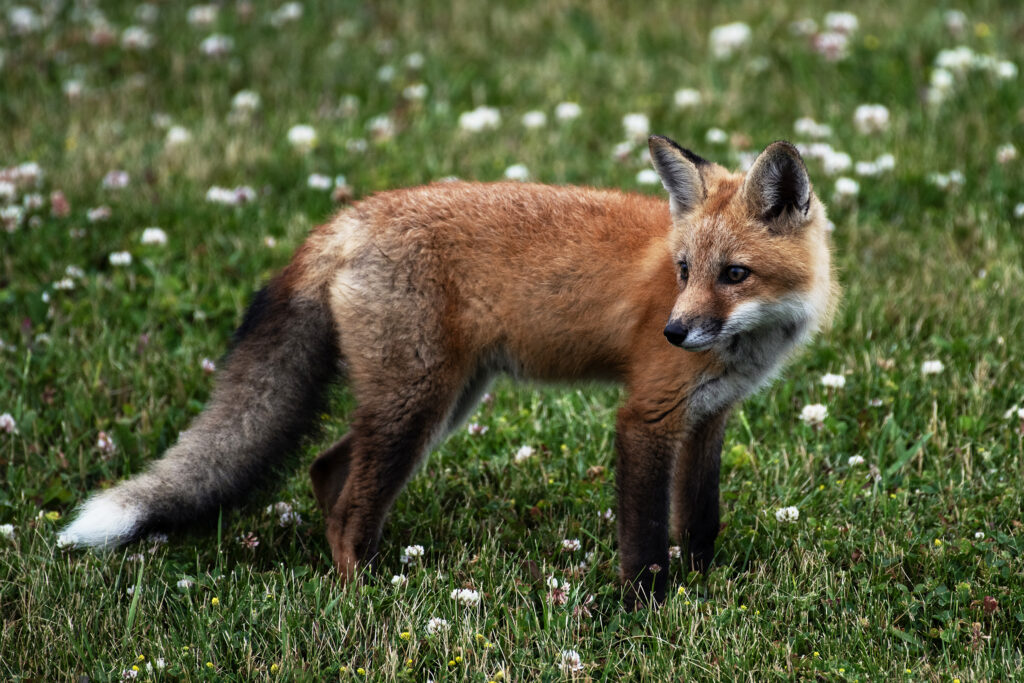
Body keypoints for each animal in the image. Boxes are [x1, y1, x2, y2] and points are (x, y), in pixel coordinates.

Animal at [59, 136, 835, 606]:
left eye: (733, 274)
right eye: (682, 270)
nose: (675, 332)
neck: (748, 343)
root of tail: (347, 219)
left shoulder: (708, 417)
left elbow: (699, 519)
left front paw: (701, 587)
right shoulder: (648, 413)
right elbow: (645, 536)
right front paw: (643, 609)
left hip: (440, 400)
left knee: (326, 471)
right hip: (418, 402)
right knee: (348, 503)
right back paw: (365, 597)